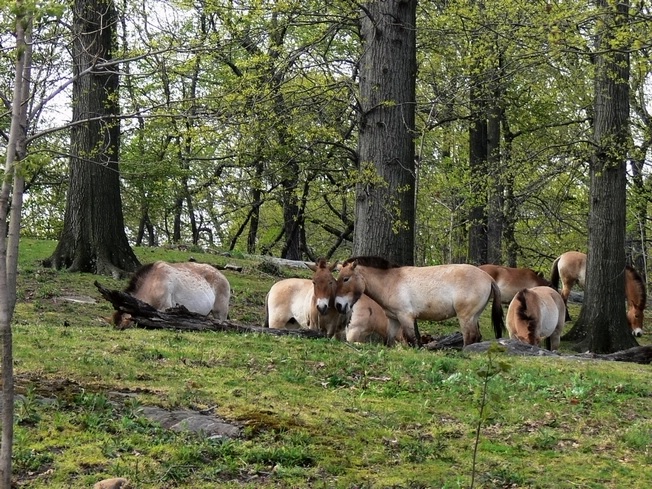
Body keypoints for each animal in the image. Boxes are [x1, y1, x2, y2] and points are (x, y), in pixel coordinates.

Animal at [334, 256, 505, 347]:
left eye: (346, 279)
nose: (338, 305)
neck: (391, 281)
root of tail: (488, 278)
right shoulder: (394, 319)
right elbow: (389, 341)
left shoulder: (406, 317)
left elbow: (412, 341)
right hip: (473, 316)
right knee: (475, 337)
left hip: (465, 317)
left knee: (470, 338)